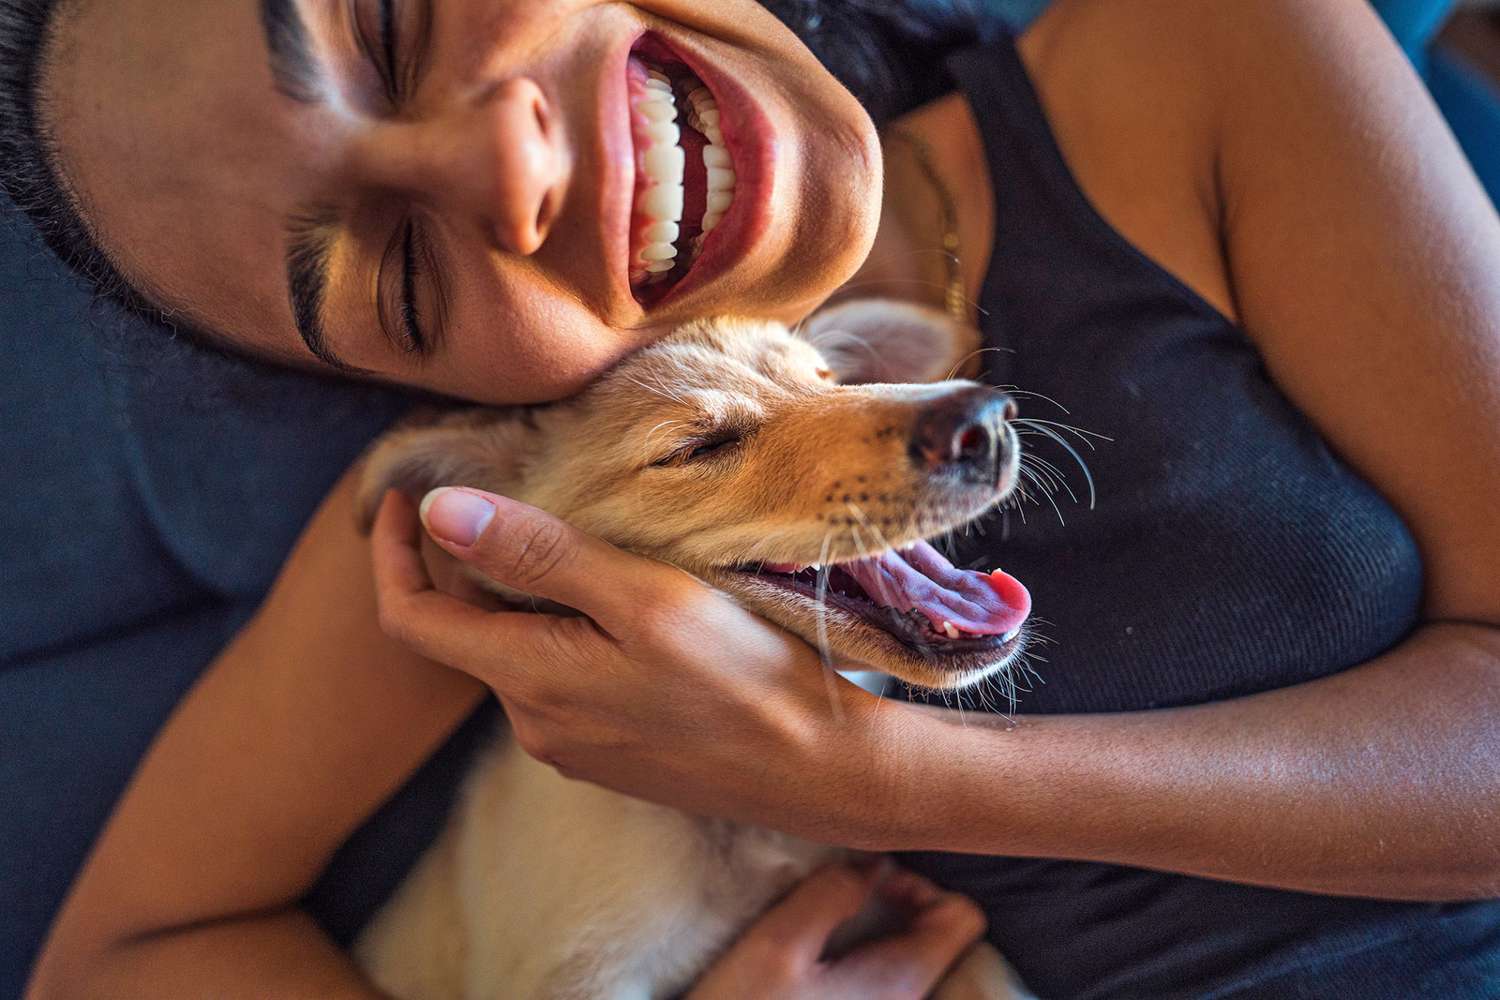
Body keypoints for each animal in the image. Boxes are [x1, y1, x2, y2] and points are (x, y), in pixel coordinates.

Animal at [352, 299, 1038, 1000]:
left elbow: (987, 969)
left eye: (829, 380)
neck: (745, 829)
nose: (983, 419)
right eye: (698, 447)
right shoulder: (576, 974)